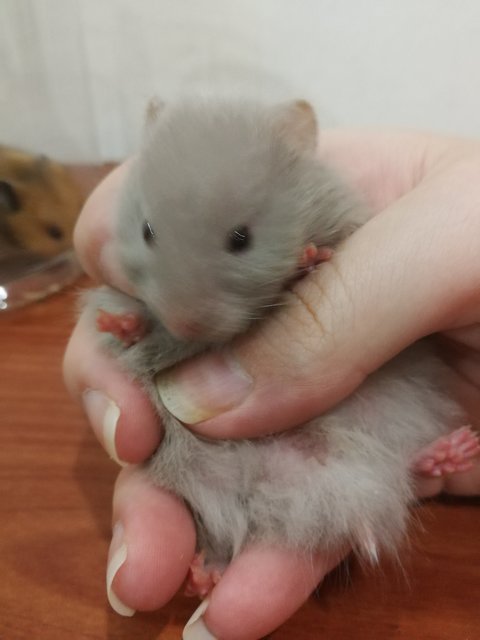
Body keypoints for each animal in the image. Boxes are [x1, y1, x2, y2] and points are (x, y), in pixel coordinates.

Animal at [87, 100, 476, 596]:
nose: (184, 324)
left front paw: (308, 262)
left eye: (241, 239)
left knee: (405, 464)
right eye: (147, 231)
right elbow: (131, 323)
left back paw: (455, 450)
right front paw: (115, 322)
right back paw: (202, 577)